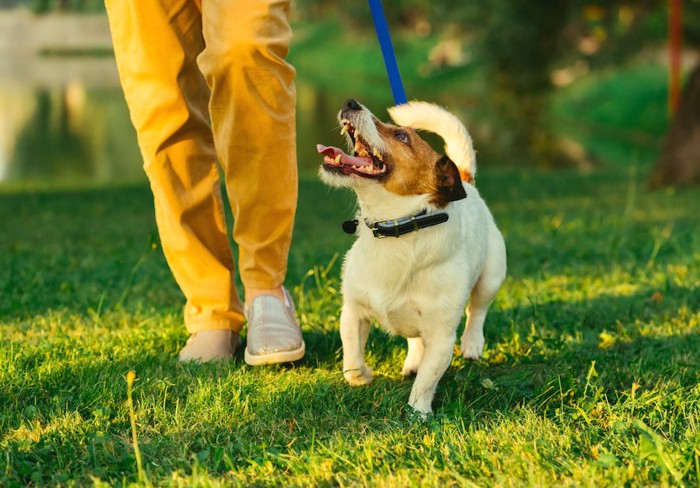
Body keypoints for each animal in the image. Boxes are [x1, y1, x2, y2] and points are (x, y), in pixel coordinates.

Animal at [318, 98, 508, 416]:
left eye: (402, 136)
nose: (350, 102)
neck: (395, 228)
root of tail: (465, 180)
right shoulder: (353, 310)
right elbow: (351, 353)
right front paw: (361, 377)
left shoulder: (442, 337)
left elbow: (427, 381)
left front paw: (419, 413)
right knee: (415, 340)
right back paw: (412, 363)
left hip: (491, 276)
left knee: (477, 310)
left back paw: (472, 345)